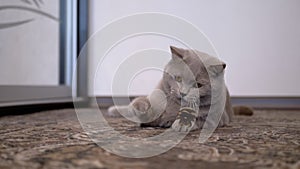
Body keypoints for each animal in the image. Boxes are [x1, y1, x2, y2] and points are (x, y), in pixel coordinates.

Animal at [106, 46, 252, 132]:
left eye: (198, 85)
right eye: (178, 78)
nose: (183, 92)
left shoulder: (216, 119)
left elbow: (199, 119)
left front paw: (181, 123)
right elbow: (145, 106)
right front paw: (140, 108)